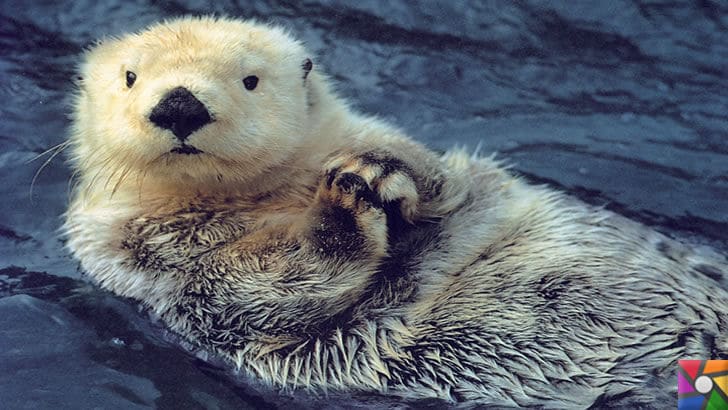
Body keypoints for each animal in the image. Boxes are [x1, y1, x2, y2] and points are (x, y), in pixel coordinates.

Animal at [64, 15, 728, 406]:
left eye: (249, 80)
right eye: (130, 77)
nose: (179, 104)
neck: (262, 201)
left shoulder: (393, 150)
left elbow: (443, 181)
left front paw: (380, 172)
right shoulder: (144, 262)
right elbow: (257, 290)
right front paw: (342, 208)